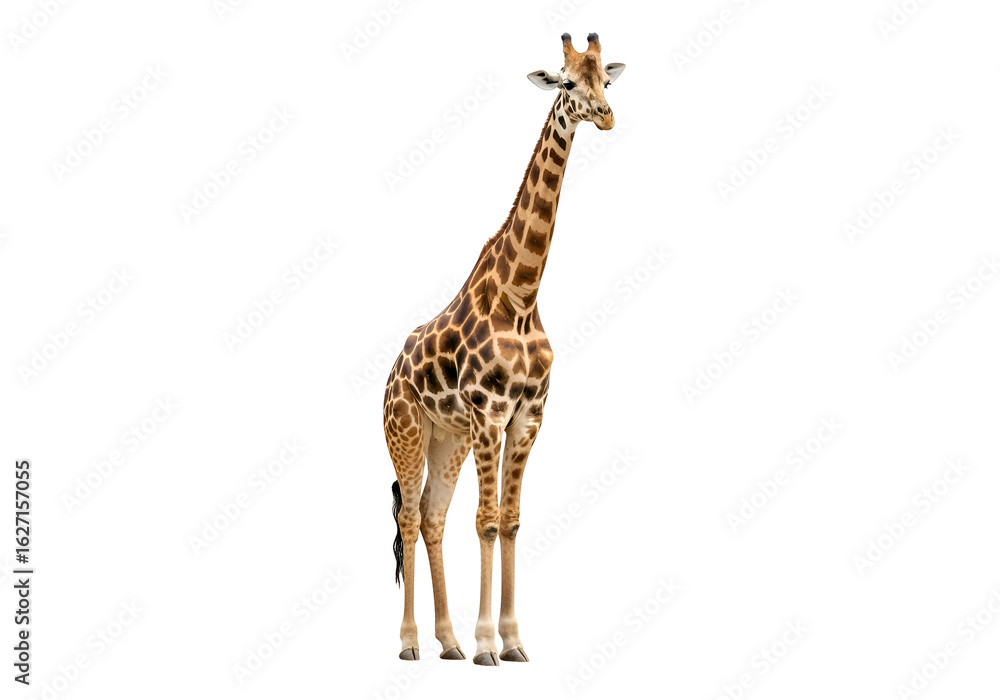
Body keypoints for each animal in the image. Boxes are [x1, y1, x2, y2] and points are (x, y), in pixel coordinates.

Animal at [382, 33, 625, 666]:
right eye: (566, 82)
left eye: (606, 80)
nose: (606, 116)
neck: (520, 295)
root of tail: (390, 375)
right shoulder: (491, 415)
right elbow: (487, 521)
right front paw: (489, 642)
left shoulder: (527, 417)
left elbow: (511, 520)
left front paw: (513, 641)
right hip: (407, 432)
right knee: (410, 517)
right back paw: (411, 642)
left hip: (448, 438)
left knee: (433, 516)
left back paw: (447, 641)